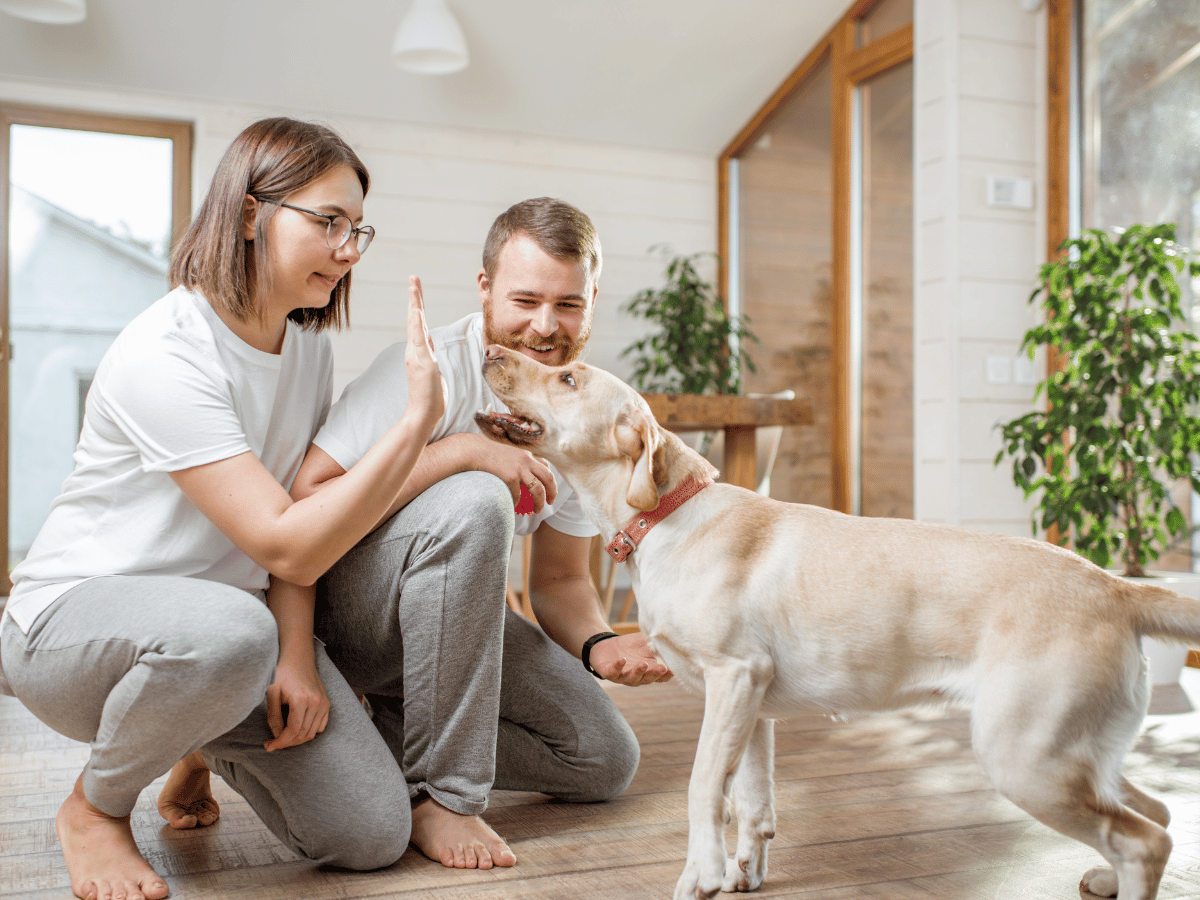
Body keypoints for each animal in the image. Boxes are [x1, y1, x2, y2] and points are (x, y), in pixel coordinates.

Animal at [470, 343, 1200, 900]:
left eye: (567, 376)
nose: (492, 349)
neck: (667, 516)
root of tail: (1115, 586)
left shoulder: (733, 679)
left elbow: (706, 786)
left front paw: (701, 873)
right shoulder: (754, 704)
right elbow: (753, 801)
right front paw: (743, 871)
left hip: (1025, 756)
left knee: (1146, 838)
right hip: (1075, 752)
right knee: (1157, 811)